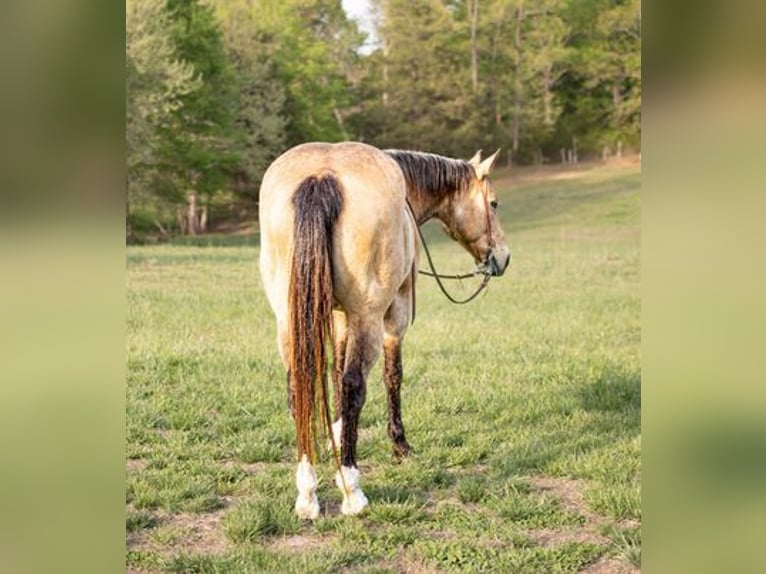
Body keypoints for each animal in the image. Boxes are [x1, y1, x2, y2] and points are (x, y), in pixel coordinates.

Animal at [258, 142, 510, 520]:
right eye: (493, 203)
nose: (502, 257)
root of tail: (322, 176)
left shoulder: (339, 317)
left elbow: (334, 374)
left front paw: (336, 433)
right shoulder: (395, 316)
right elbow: (392, 376)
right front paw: (400, 445)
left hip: (289, 320)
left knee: (297, 385)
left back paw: (307, 492)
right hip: (369, 316)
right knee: (354, 386)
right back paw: (351, 489)